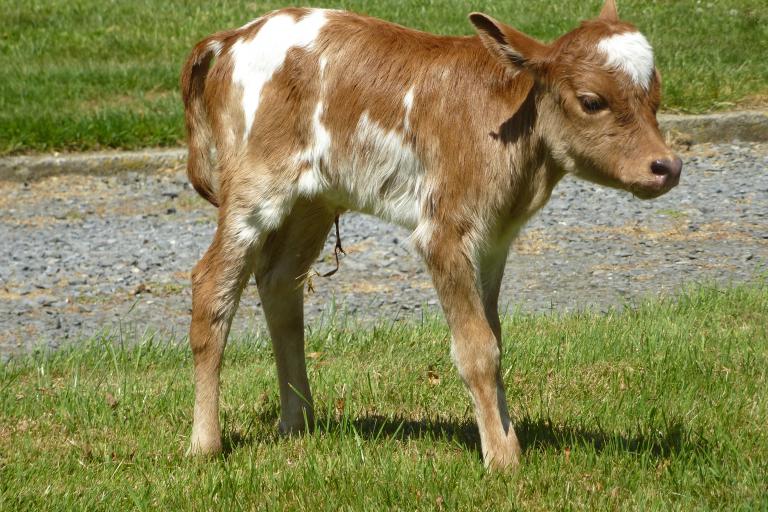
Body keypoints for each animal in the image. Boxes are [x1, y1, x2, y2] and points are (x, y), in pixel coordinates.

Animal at [182, 0, 684, 470]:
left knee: (280, 281)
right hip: (254, 184)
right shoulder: (444, 230)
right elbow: (476, 348)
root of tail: (232, 37)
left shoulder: (494, 240)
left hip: (315, 199)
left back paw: (297, 421)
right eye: (592, 101)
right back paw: (206, 444)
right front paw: (503, 460)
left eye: (656, 96)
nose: (667, 166)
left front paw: (507, 439)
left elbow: (493, 336)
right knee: (212, 285)